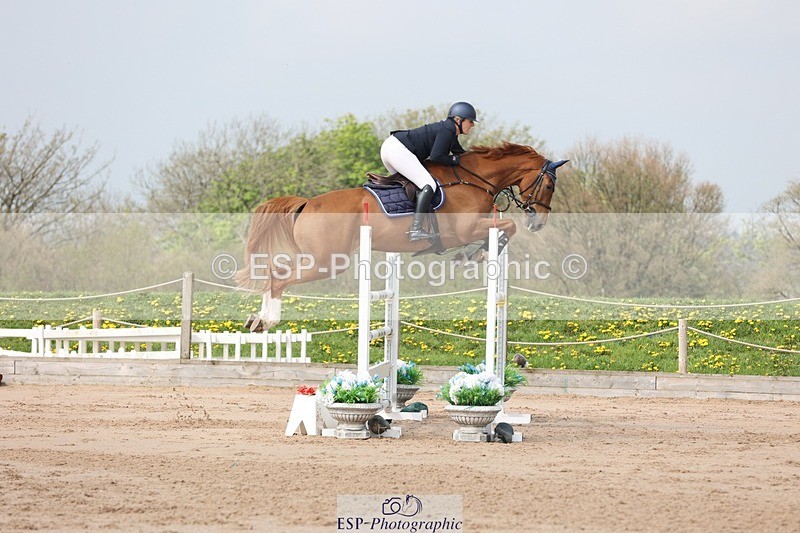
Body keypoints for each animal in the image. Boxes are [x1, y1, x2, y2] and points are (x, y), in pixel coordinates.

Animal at [238, 142, 567, 331]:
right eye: (550, 186)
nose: (538, 222)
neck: (473, 180)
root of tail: (307, 203)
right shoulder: (465, 228)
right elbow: (507, 227)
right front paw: (478, 253)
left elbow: (503, 227)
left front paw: (474, 254)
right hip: (327, 261)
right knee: (280, 276)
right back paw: (269, 319)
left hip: (320, 258)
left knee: (274, 270)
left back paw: (257, 319)